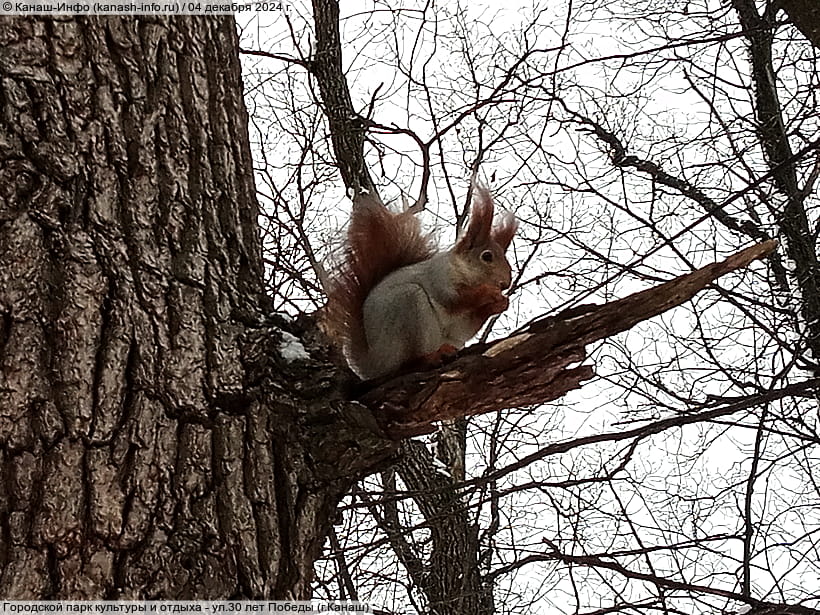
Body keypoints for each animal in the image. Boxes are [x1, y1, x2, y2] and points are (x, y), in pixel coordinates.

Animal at [324, 186, 516, 380]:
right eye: (487, 256)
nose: (506, 283)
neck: (463, 272)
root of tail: (373, 365)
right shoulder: (439, 278)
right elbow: (453, 299)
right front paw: (488, 292)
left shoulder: (461, 323)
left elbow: (466, 327)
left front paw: (501, 303)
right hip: (408, 307)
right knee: (408, 362)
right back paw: (431, 356)